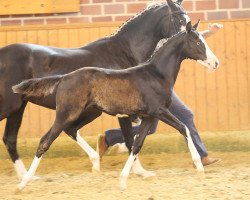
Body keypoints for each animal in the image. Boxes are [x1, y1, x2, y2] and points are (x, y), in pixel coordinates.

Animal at [0, 0, 189, 178]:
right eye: (179, 19)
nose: (188, 36)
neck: (122, 52)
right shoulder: (123, 112)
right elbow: (130, 138)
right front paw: (139, 170)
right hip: (11, 106)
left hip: (19, 108)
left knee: (11, 139)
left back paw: (27, 177)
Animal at [13, 20, 219, 191]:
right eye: (197, 42)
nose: (215, 63)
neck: (156, 74)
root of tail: (63, 77)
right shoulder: (159, 111)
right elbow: (184, 128)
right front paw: (199, 167)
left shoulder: (148, 116)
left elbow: (136, 145)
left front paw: (123, 180)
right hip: (65, 114)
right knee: (44, 141)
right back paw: (23, 183)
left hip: (86, 112)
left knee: (68, 132)